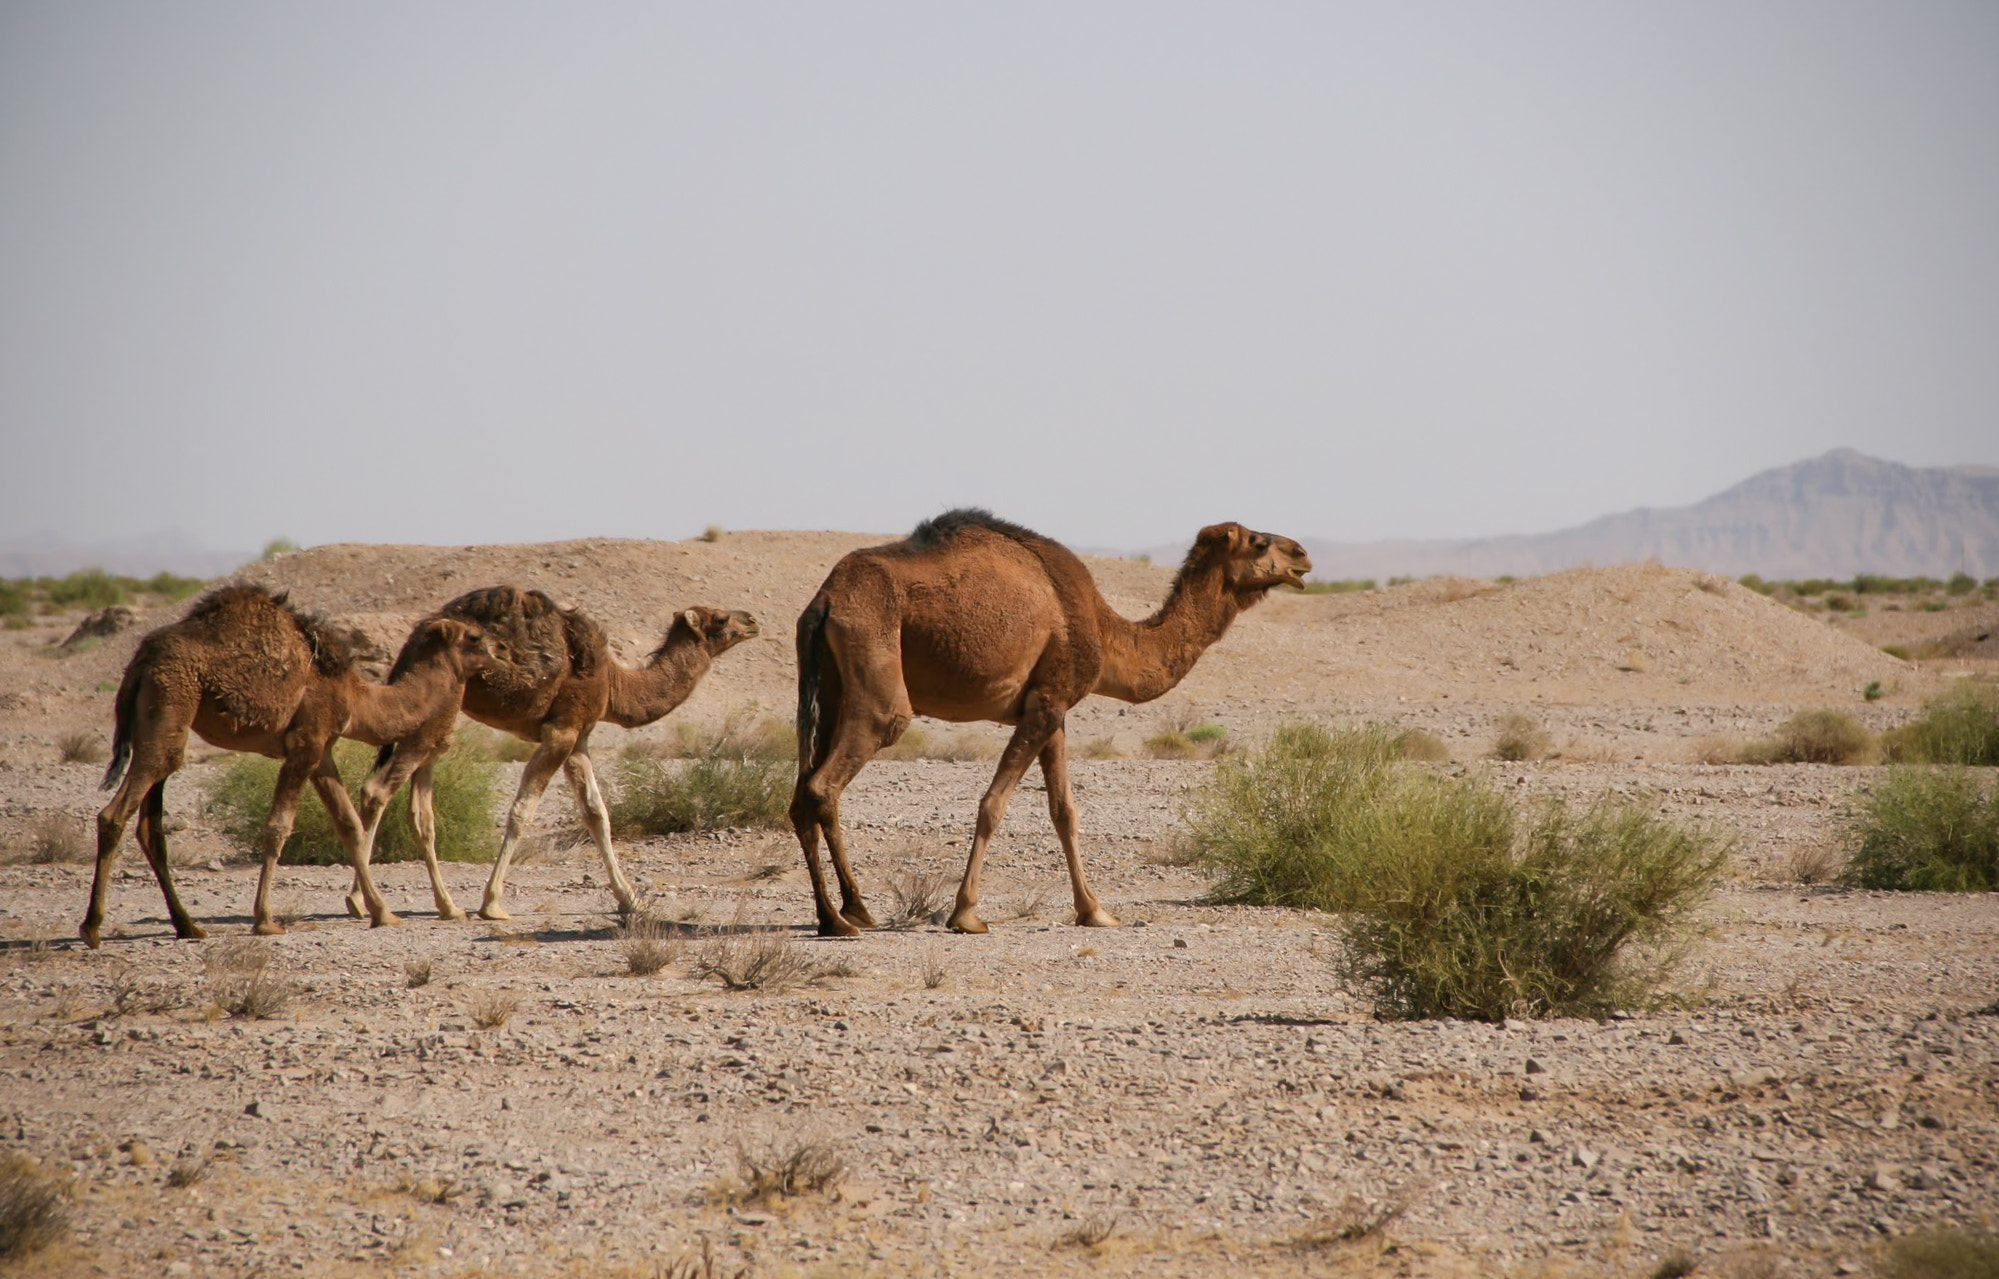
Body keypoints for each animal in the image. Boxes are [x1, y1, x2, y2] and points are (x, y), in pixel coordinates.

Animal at [81, 586, 493, 948]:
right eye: (474, 637)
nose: (499, 652)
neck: (354, 695)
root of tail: (139, 662)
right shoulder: (305, 743)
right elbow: (278, 827)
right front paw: (266, 920)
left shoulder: (322, 750)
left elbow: (349, 825)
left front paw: (382, 912)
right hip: (170, 701)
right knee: (114, 813)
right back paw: (93, 928)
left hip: (161, 722)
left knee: (150, 827)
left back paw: (188, 926)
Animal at [352, 586, 760, 922]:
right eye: (720, 618)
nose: (753, 620)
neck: (614, 683)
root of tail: (417, 636)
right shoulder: (561, 731)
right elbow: (521, 812)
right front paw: (492, 903)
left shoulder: (579, 739)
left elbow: (596, 814)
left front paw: (631, 900)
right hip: (440, 703)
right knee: (378, 789)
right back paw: (368, 904)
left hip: (441, 711)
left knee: (420, 809)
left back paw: (443, 906)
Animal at [790, 509, 1311, 937]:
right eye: (1258, 542)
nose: (1302, 556)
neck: (1103, 628)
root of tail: (825, 601)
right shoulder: (1047, 702)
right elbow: (993, 804)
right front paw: (967, 914)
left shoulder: (1053, 710)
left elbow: (1064, 811)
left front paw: (1095, 911)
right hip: (877, 673)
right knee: (827, 783)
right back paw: (842, 918)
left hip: (829, 687)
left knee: (802, 796)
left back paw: (844, 912)